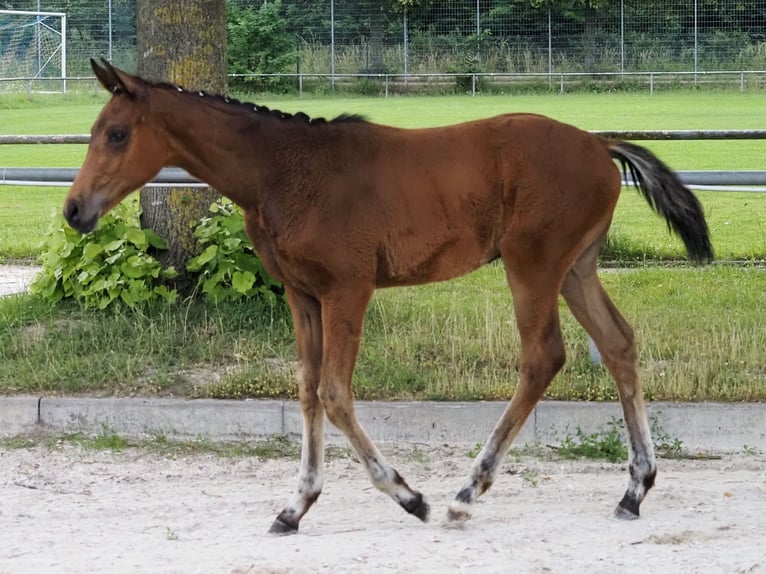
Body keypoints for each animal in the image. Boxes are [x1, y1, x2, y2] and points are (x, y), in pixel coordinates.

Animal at [64, 59, 713, 534]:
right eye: (94, 132)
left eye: (117, 134)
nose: (74, 211)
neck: (282, 170)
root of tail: (601, 145)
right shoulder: (302, 294)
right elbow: (307, 389)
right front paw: (296, 506)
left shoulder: (347, 289)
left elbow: (335, 393)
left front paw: (407, 496)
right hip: (575, 268)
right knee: (619, 344)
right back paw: (634, 490)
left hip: (533, 265)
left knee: (543, 356)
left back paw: (465, 494)